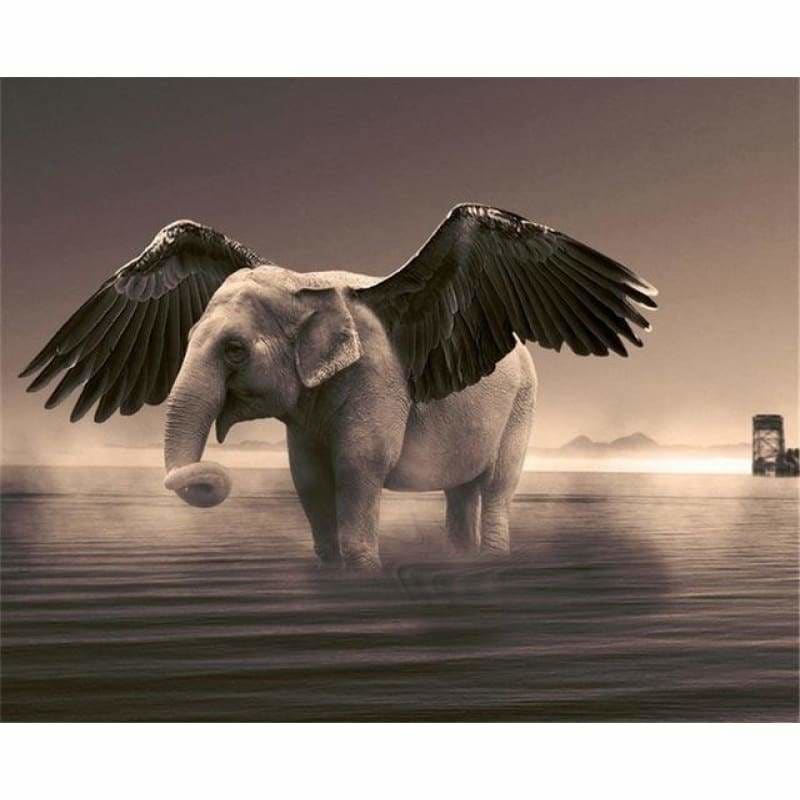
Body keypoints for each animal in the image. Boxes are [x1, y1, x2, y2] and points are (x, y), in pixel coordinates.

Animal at [21, 204, 658, 569]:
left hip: (522, 408)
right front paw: (331, 569)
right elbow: (308, 476)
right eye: (187, 336)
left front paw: (363, 571)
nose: (215, 475)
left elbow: (357, 467)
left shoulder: (376, 381)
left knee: (497, 487)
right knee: (460, 493)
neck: (307, 289)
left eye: (234, 350)